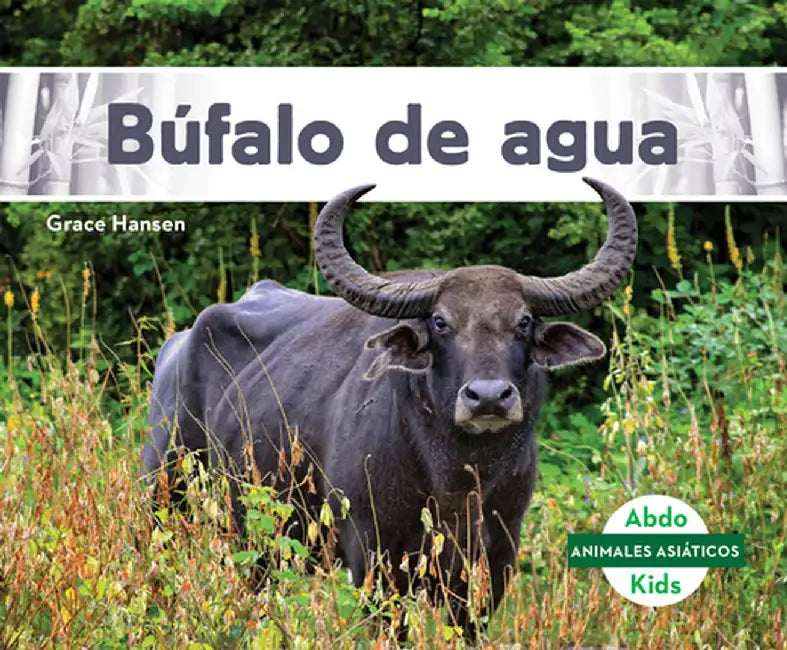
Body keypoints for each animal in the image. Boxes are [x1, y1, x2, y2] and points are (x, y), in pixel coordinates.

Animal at [143, 177, 637, 631]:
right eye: (440, 322)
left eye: (525, 321)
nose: (488, 397)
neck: (456, 477)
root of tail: (176, 348)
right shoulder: (375, 561)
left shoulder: (494, 562)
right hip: (165, 504)